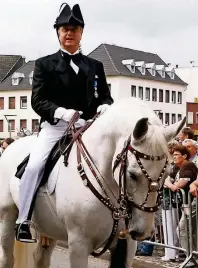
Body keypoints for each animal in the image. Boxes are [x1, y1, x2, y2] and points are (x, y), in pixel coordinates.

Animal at [0, 97, 185, 266]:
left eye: (167, 173)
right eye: (132, 174)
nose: (143, 231)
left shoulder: (127, 244)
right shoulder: (79, 244)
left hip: (49, 227)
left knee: (40, 257)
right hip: (7, 217)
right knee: (7, 258)